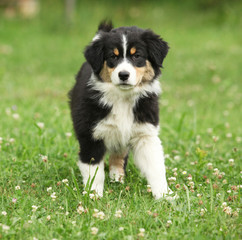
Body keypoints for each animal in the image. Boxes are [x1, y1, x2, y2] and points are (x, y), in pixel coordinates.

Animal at [69, 21, 169, 199]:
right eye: (113, 57)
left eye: (137, 56)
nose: (123, 75)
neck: (123, 98)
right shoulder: (90, 135)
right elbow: (94, 171)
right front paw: (94, 196)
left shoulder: (145, 133)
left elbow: (156, 167)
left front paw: (165, 196)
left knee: (119, 155)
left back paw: (117, 178)